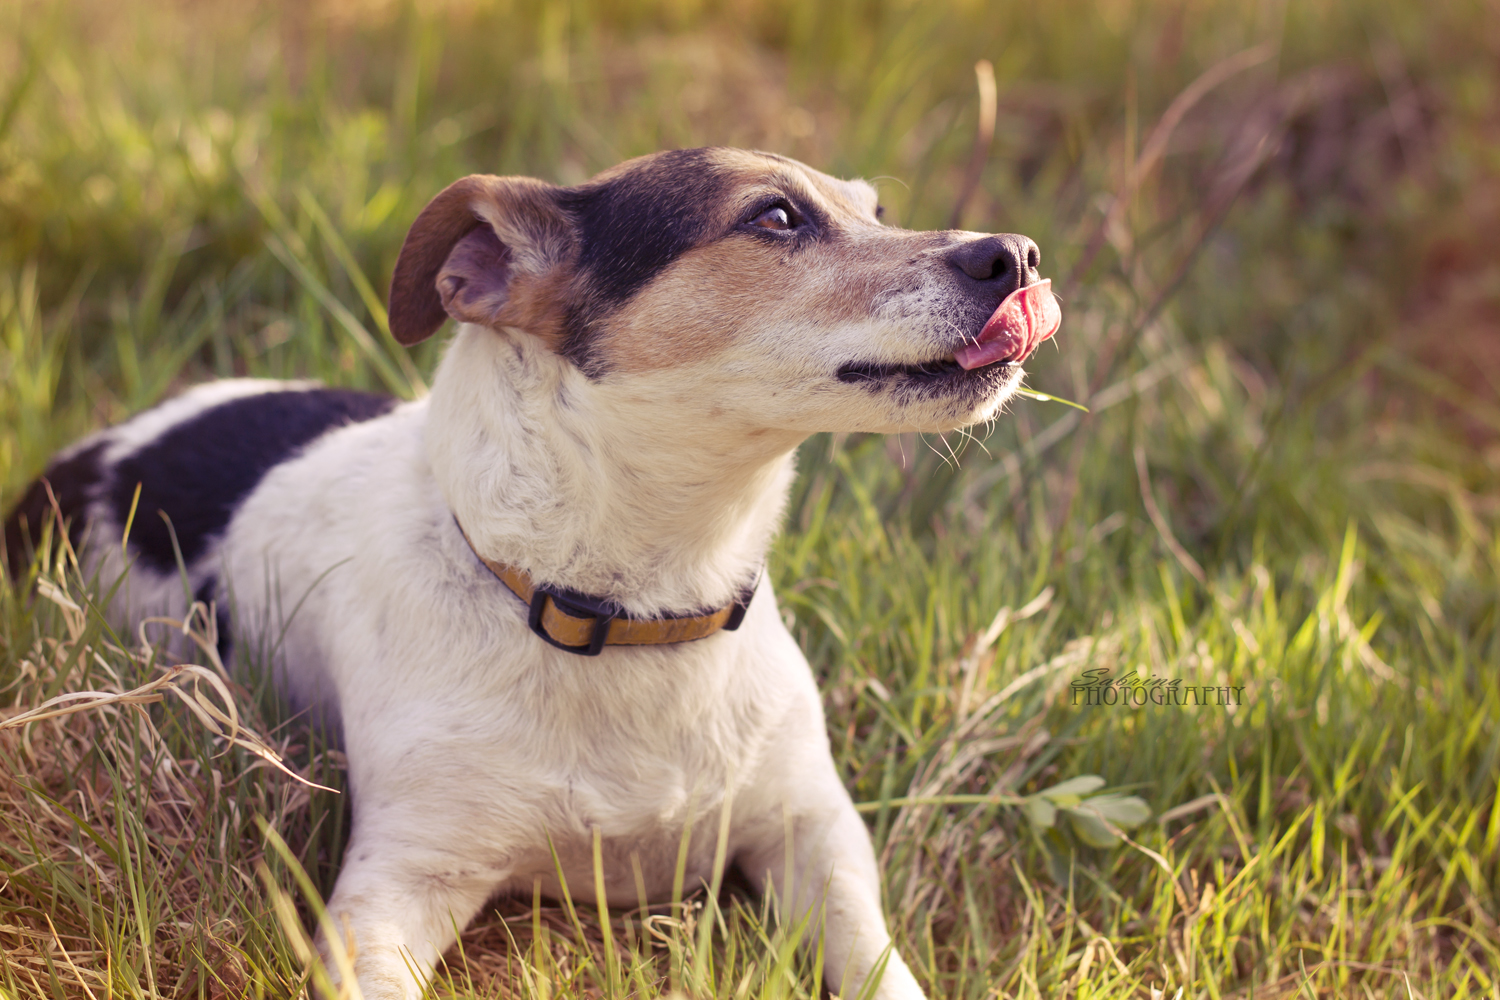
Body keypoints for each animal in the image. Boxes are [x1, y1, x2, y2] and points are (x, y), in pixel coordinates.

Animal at [2, 144, 1056, 995]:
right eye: (776, 217)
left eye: (875, 211)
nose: (1017, 255)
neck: (634, 616)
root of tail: (92, 455)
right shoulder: (396, 889)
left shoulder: (815, 837)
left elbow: (877, 962)